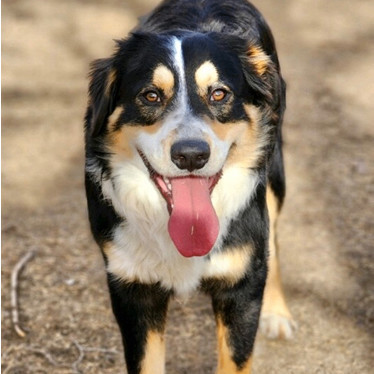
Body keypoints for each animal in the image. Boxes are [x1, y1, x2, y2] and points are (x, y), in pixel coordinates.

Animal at [84, 1, 296, 372]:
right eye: (151, 95)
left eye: (219, 93)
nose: (191, 155)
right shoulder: (132, 287)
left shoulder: (240, 288)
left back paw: (277, 314)